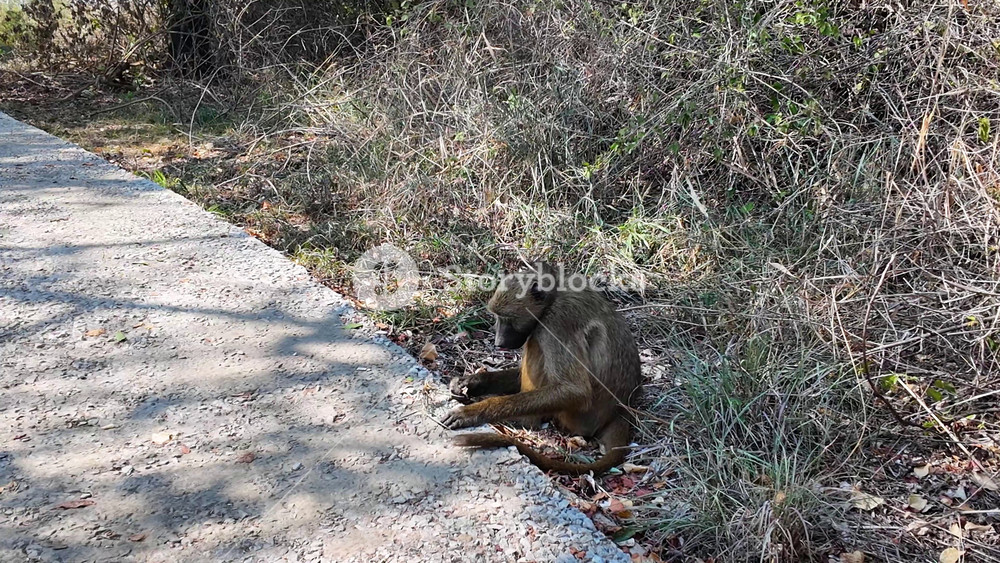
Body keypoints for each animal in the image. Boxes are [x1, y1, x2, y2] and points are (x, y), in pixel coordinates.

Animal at [441, 262, 642, 475]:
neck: (554, 296)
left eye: (508, 318)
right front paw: (469, 382)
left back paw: (524, 423)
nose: (498, 342)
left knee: (535, 344)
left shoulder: (555, 323)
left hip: (575, 418)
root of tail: (621, 409)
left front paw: (471, 412)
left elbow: (574, 390)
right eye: (497, 317)